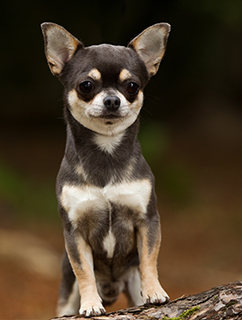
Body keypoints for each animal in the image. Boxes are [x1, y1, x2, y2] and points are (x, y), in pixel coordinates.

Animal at [41, 21, 170, 316]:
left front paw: (155, 290)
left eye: (132, 86)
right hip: (66, 293)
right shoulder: (75, 232)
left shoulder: (148, 220)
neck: (106, 153)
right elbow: (84, 271)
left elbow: (150, 260)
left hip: (131, 286)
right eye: (86, 86)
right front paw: (91, 304)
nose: (112, 100)